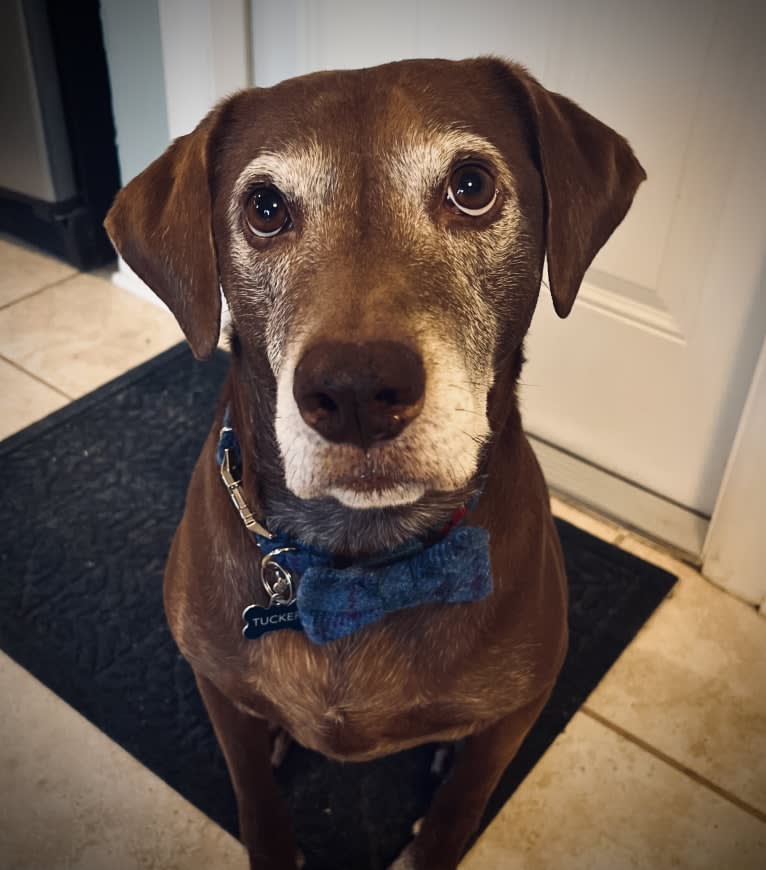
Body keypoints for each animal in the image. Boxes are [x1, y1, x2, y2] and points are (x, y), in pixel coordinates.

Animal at [105, 58, 648, 868]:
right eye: (264, 207)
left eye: (472, 186)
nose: (356, 390)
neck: (361, 554)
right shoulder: (215, 683)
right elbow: (254, 797)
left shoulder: (519, 711)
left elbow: (459, 811)